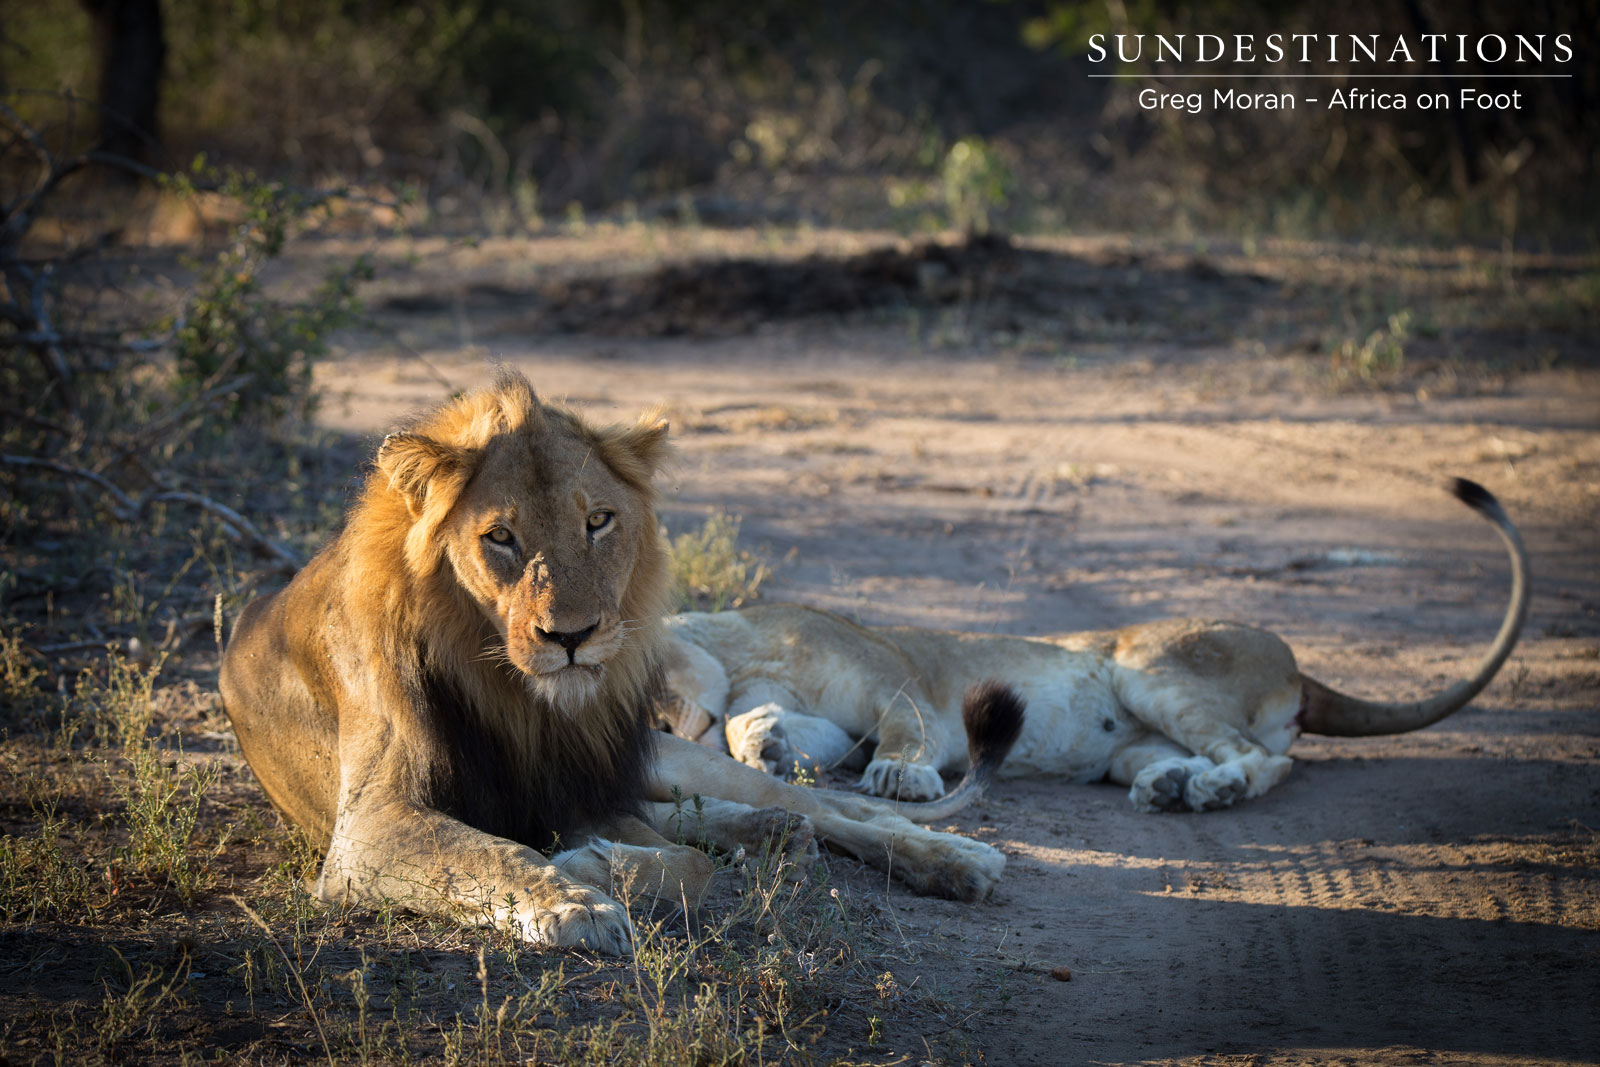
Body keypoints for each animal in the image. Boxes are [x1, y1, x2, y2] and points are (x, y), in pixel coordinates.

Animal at [219, 371, 1022, 956]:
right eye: (499, 535)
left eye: (598, 521)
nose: (571, 635)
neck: (514, 694)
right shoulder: (368, 827)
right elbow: (495, 854)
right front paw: (574, 899)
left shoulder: (580, 790)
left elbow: (685, 865)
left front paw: (584, 869)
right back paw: (770, 835)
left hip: (672, 757)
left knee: (838, 808)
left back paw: (954, 860)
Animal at [660, 479, 1528, 813]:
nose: (669, 730)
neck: (743, 650)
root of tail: (1298, 664)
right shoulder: (812, 712)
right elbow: (765, 724)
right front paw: (765, 746)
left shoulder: (893, 680)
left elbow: (904, 730)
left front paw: (895, 775)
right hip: (1132, 738)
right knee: (1211, 755)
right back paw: (1172, 786)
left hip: (1150, 666)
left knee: (1264, 758)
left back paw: (1210, 791)